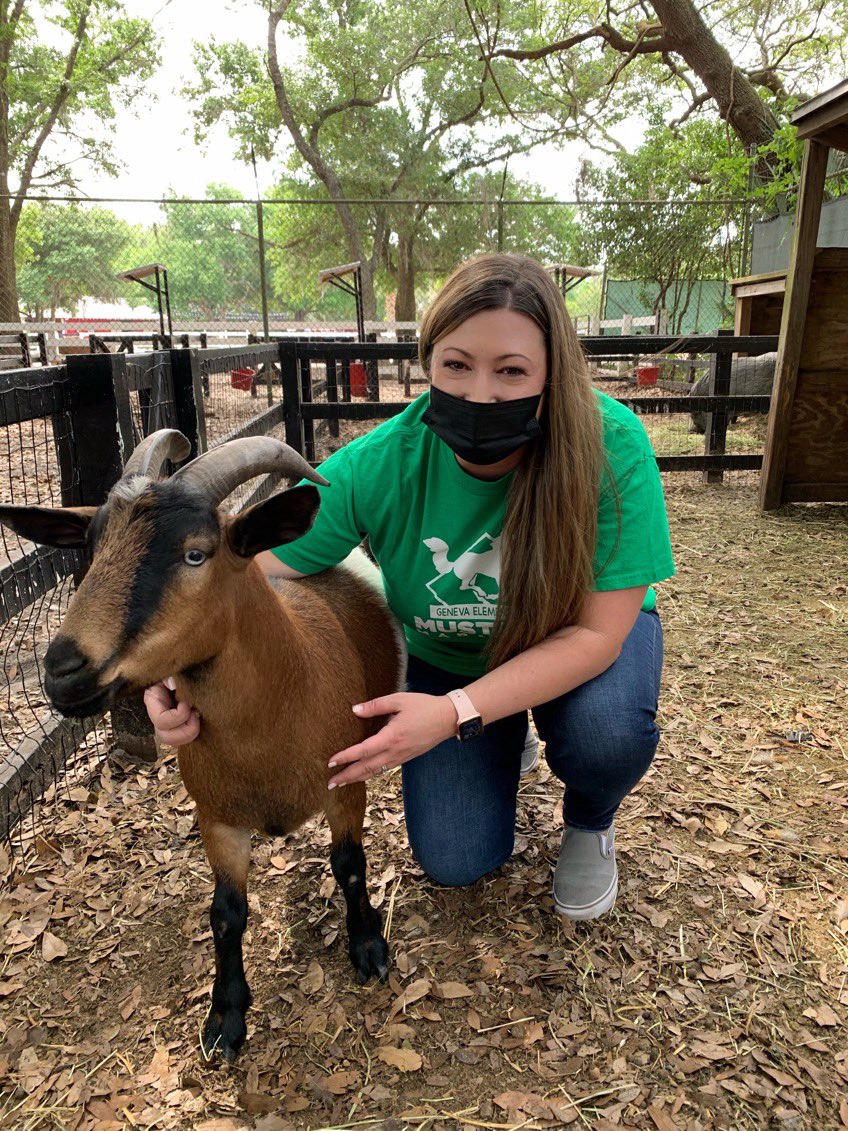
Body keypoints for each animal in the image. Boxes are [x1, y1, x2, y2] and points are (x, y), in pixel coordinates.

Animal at [0, 430, 406, 1062]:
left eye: (196, 554)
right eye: (91, 549)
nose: (64, 672)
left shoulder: (347, 784)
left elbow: (351, 866)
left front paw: (367, 946)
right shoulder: (216, 817)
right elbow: (226, 913)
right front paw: (226, 1016)